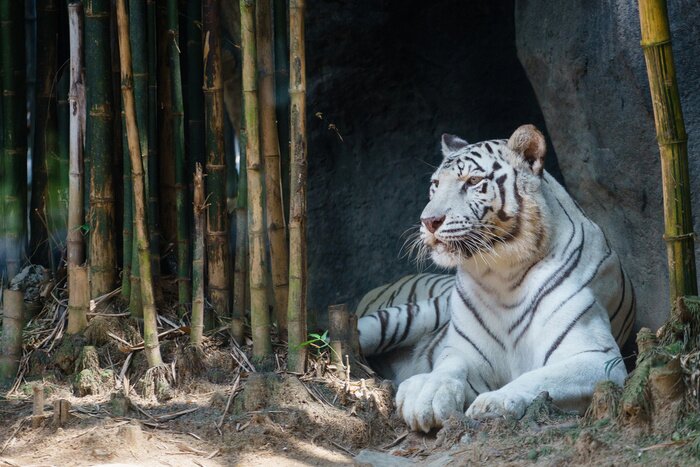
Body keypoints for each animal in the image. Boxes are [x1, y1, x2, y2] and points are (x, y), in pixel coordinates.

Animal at [356, 125, 635, 432]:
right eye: (436, 184)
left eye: (473, 181)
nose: (429, 221)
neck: (502, 275)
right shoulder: (466, 351)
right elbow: (448, 366)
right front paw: (427, 393)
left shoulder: (599, 357)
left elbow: (540, 378)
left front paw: (494, 403)